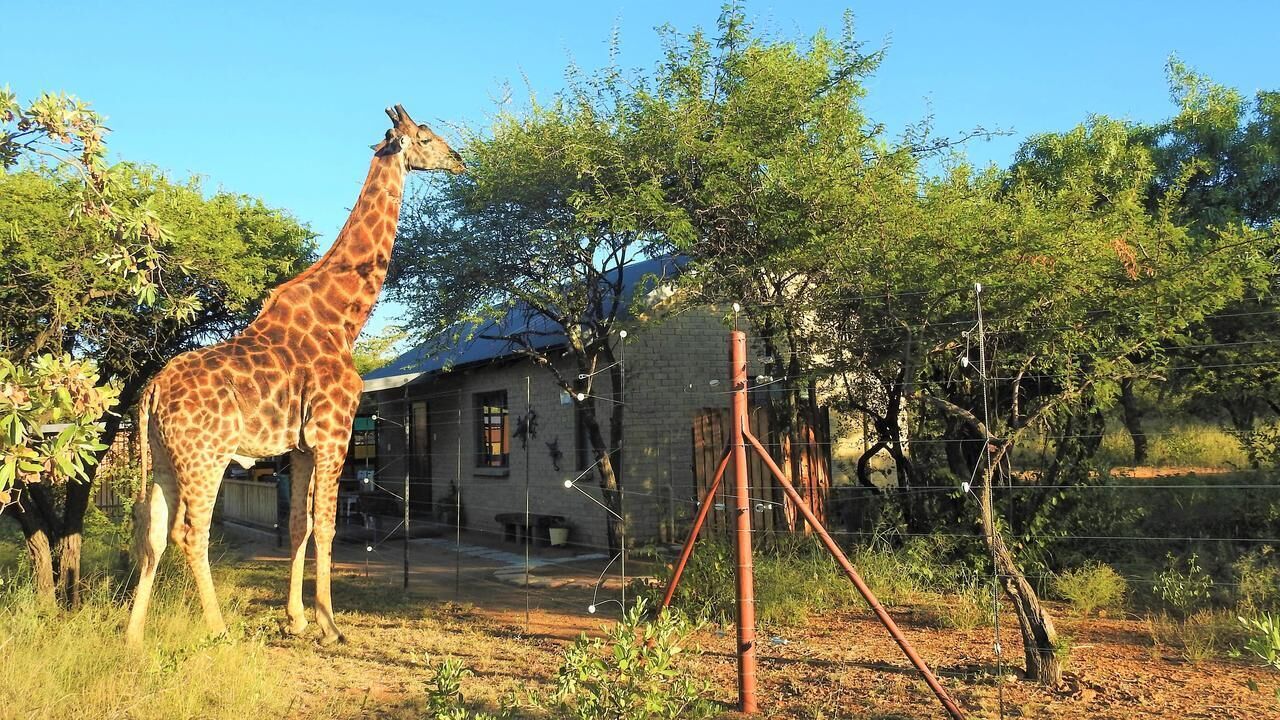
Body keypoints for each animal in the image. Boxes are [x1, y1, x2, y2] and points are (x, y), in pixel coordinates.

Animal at [125, 105, 464, 645]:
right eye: (426, 138)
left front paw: (298, 618)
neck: (343, 319)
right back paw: (218, 628)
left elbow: (299, 524)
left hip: (160, 456)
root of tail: (152, 390)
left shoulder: (302, 446)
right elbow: (326, 525)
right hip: (205, 456)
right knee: (191, 532)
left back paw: (133, 636)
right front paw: (330, 624)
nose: (460, 160)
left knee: (152, 530)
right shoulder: (334, 432)